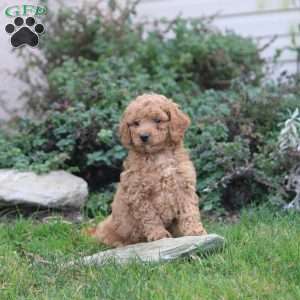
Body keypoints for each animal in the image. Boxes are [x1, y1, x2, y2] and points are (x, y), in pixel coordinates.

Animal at [89, 93, 206, 246]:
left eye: (157, 120)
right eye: (136, 123)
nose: (143, 136)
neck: (158, 155)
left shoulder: (184, 186)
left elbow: (189, 210)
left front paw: (194, 230)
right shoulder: (139, 193)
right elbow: (150, 217)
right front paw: (159, 235)